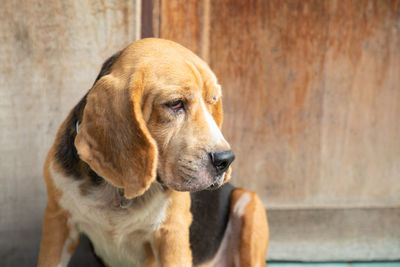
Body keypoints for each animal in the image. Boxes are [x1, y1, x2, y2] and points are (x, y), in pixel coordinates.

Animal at [38, 38, 268, 267]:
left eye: (213, 100)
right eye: (175, 104)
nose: (225, 160)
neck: (116, 191)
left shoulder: (171, 235)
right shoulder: (57, 221)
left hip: (248, 201)